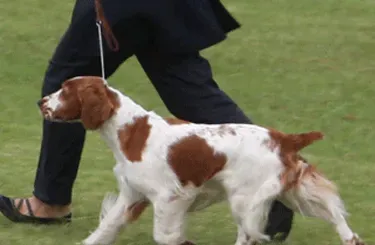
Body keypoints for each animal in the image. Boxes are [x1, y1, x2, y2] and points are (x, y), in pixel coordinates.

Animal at [37, 76, 364, 245]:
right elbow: (105, 228)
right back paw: (350, 238)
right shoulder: (132, 194)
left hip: (244, 199)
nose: (41, 101)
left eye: (65, 90)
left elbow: (164, 235)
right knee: (332, 210)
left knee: (248, 234)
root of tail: (283, 138)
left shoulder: (171, 196)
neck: (129, 130)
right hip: (289, 189)